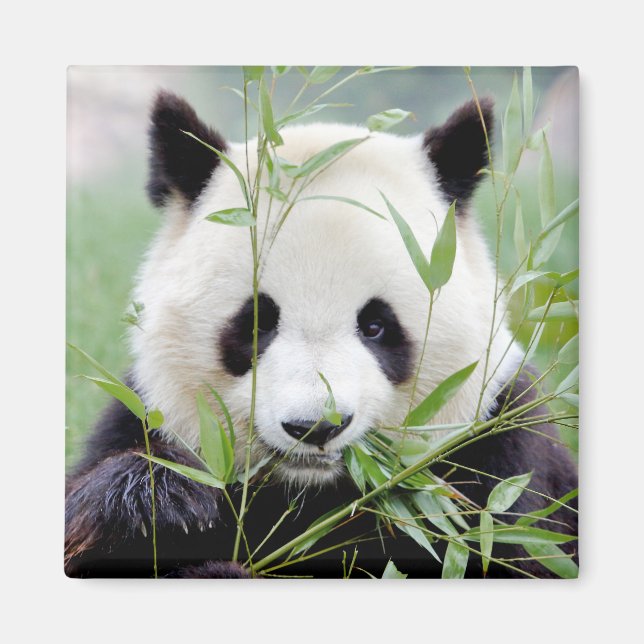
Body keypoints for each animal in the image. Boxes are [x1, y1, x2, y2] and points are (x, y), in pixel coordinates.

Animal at [65, 89, 578, 578]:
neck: (310, 491)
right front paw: (160, 502)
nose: (316, 426)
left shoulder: (499, 453)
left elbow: (509, 547)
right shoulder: (147, 415)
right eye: (257, 323)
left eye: (376, 326)